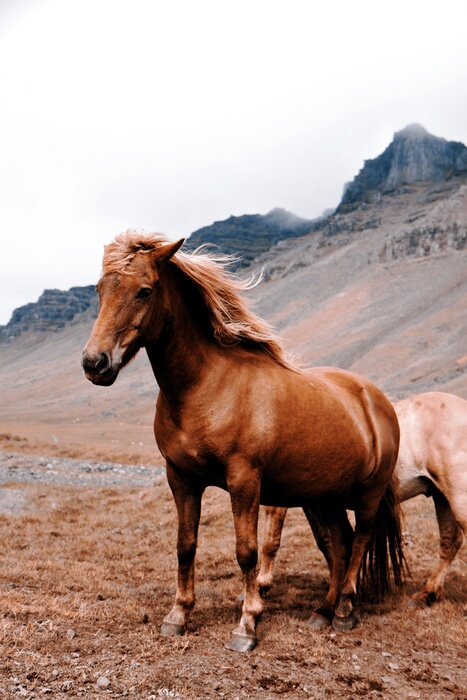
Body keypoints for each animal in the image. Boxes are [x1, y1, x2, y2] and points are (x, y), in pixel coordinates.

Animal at [82, 231, 405, 652]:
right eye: (100, 289)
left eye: (144, 291)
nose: (95, 363)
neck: (207, 387)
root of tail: (375, 399)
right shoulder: (181, 479)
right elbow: (185, 545)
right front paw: (178, 615)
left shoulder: (245, 482)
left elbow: (247, 552)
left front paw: (247, 625)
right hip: (324, 498)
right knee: (340, 544)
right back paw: (323, 611)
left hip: (367, 494)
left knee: (360, 541)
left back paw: (346, 612)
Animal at [257, 391, 467, 606]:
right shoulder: (313, 502)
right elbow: (326, 541)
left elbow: (270, 541)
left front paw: (262, 584)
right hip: (441, 497)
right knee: (450, 541)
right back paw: (428, 592)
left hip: (457, 497)